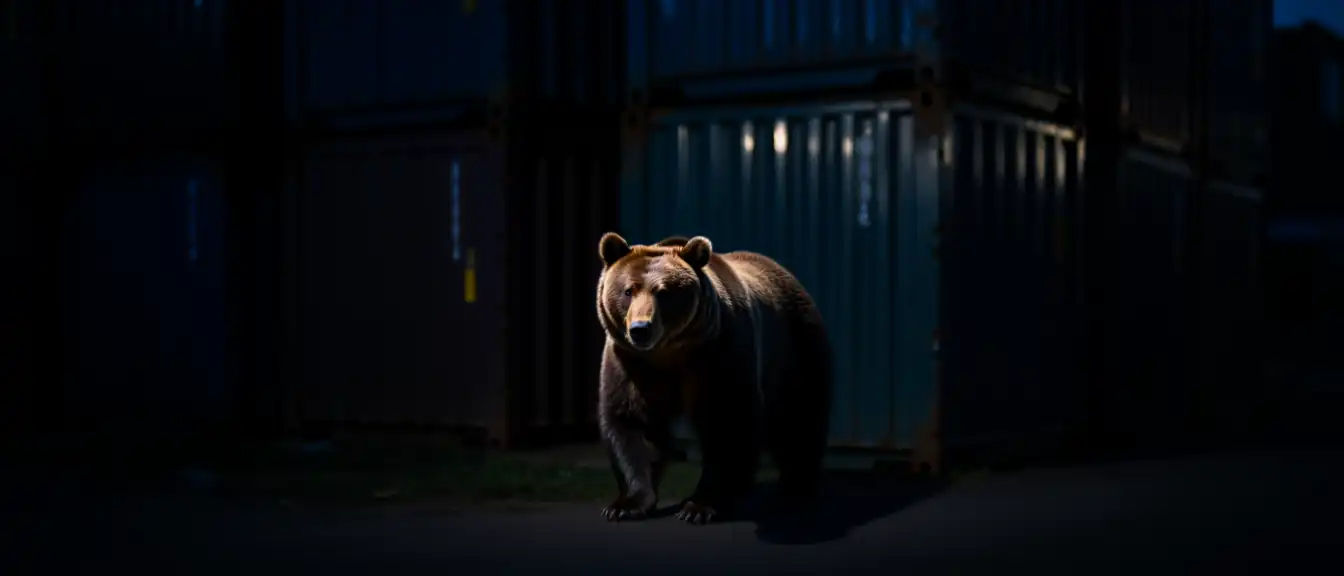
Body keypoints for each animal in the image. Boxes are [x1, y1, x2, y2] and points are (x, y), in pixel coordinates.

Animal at [594, 232, 833, 525]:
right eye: (628, 290)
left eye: (663, 292)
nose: (641, 328)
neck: (669, 352)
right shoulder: (630, 362)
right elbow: (631, 422)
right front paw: (626, 504)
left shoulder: (719, 352)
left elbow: (727, 421)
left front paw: (701, 505)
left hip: (796, 349)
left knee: (800, 417)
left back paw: (797, 484)